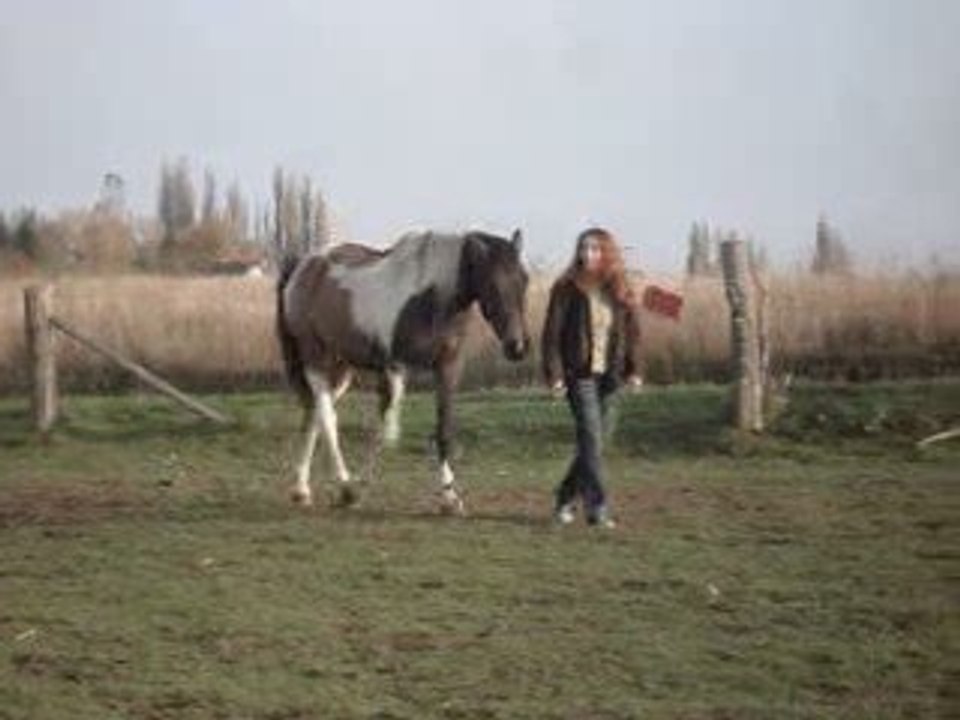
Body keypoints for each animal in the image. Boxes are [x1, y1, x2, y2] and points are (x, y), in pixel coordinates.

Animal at [276, 228, 530, 513]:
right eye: (493, 284)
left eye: (524, 280)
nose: (517, 347)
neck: (431, 297)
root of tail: (304, 265)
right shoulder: (395, 368)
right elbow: (385, 427)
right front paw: (359, 487)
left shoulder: (448, 368)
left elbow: (442, 429)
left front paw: (450, 498)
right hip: (316, 359)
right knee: (327, 418)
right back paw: (344, 487)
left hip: (340, 368)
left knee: (314, 415)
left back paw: (302, 490)